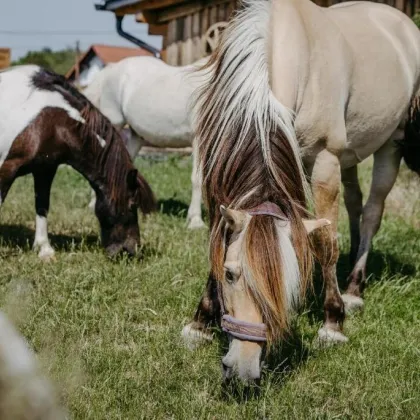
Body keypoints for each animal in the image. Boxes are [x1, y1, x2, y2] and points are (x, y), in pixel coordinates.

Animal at [0, 65, 156, 260]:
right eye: (132, 204)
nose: (130, 251)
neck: (49, 119)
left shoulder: (45, 169)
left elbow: (42, 204)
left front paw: (44, 250)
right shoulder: (7, 168)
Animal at [83, 56, 207, 230]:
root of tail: (113, 68)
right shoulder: (199, 140)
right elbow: (198, 179)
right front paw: (195, 222)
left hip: (137, 137)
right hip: (114, 124)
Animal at [182, 0, 420, 382]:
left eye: (291, 285)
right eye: (231, 274)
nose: (243, 369)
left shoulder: (324, 161)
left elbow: (324, 241)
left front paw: (333, 322)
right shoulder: (219, 163)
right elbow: (219, 237)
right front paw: (200, 322)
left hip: (390, 145)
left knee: (371, 212)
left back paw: (353, 289)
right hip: (350, 155)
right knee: (354, 205)